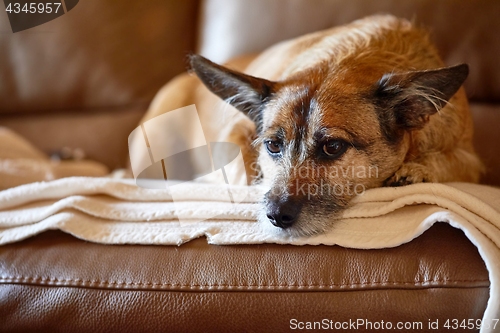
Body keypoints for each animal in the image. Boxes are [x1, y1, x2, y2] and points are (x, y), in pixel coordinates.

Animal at [142, 14, 484, 235]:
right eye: (273, 145)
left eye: (332, 147)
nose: (276, 216)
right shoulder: (237, 134)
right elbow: (244, 170)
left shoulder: (469, 158)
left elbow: (451, 162)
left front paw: (416, 171)